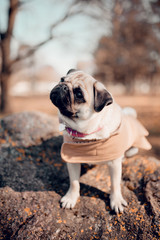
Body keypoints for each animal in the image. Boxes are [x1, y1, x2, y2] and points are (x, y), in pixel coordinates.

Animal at [50, 69, 151, 214]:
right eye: (62, 79)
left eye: (79, 94)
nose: (63, 86)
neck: (87, 132)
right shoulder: (72, 160)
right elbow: (74, 182)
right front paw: (71, 197)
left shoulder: (114, 164)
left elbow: (115, 184)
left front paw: (116, 200)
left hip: (132, 149)